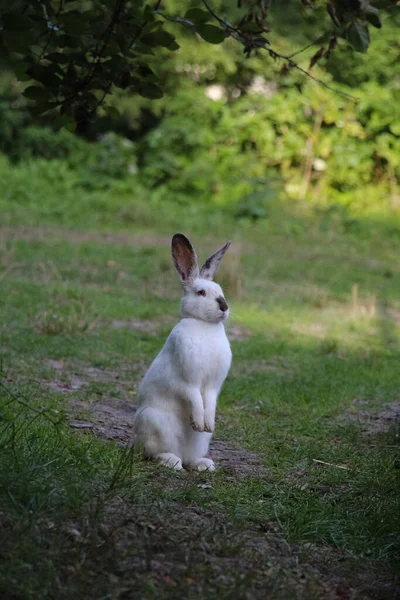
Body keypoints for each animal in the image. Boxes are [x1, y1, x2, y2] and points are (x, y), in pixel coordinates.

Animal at [135, 232, 231, 472]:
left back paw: (204, 464)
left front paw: (207, 423)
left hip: (201, 441)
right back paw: (172, 461)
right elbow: (194, 397)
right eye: (201, 292)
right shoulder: (187, 380)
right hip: (155, 423)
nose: (224, 306)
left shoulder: (213, 385)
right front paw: (197, 421)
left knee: (190, 457)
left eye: (221, 291)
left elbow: (209, 401)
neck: (204, 325)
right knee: (155, 453)